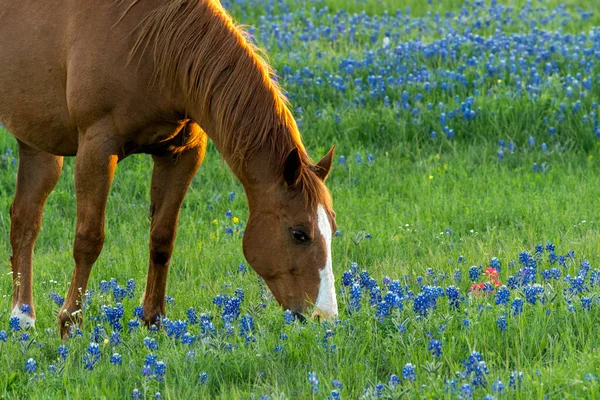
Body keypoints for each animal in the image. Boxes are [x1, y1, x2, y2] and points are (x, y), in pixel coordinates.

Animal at [0, 0, 338, 340]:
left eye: (333, 229)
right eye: (299, 233)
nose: (325, 317)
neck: (151, 45)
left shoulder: (182, 153)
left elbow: (162, 238)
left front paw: (154, 321)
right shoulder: (96, 148)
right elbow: (88, 239)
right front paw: (71, 325)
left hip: (37, 140)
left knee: (25, 220)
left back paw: (22, 317)